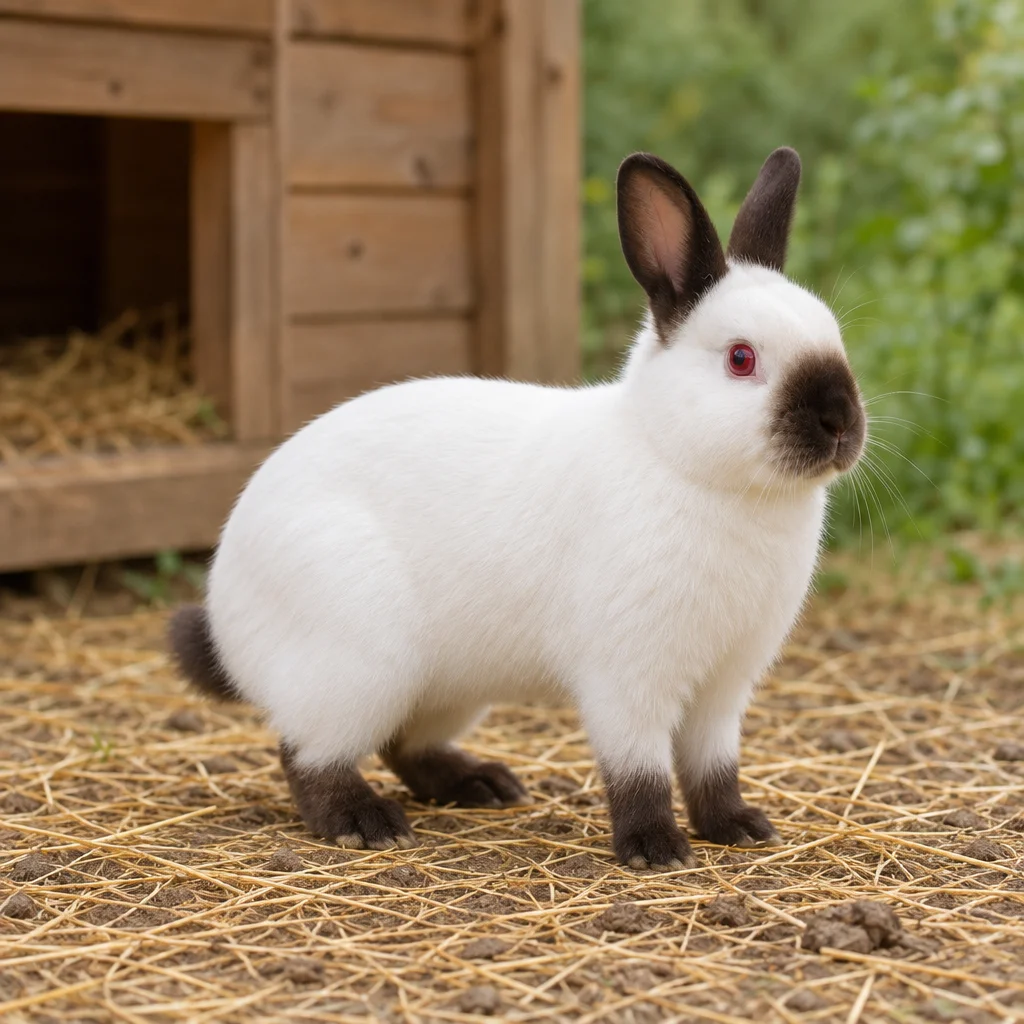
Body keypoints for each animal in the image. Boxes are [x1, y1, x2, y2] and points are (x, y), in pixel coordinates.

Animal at [170, 146, 865, 869]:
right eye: (741, 358)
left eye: (835, 337)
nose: (841, 421)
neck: (683, 463)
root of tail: (223, 613)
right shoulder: (629, 680)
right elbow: (639, 769)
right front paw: (656, 849)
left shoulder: (724, 690)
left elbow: (713, 767)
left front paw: (738, 827)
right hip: (357, 666)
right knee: (306, 754)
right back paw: (366, 822)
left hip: (447, 688)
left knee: (401, 745)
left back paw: (482, 784)